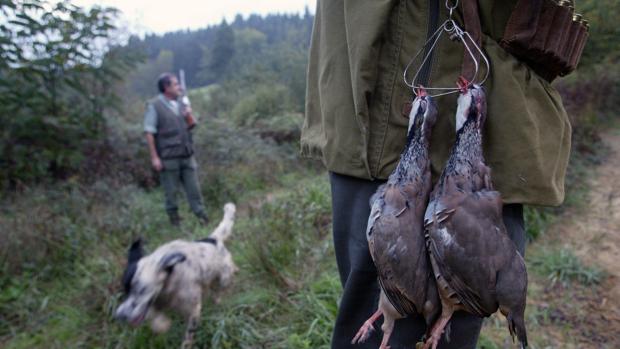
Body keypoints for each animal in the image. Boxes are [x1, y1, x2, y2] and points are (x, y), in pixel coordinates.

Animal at [114, 203, 237, 346]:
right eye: (125, 290)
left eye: (142, 290)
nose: (119, 315)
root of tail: (212, 239)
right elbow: (154, 315)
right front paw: (162, 324)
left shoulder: (193, 309)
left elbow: (189, 332)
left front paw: (186, 343)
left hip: (224, 276)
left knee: (222, 286)